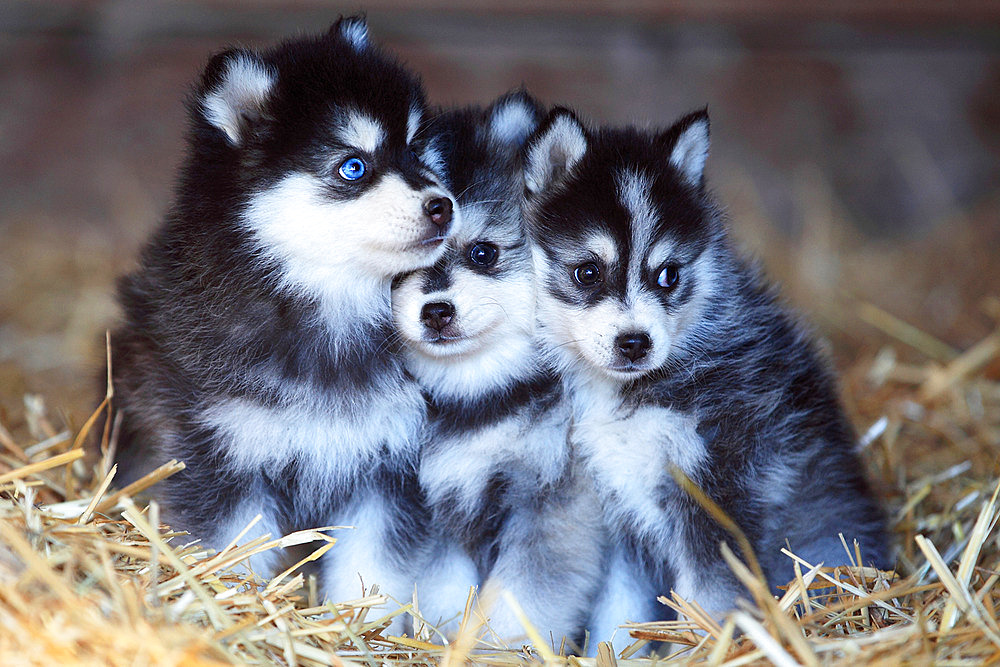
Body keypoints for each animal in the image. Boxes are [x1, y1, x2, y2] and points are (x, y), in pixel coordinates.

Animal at [111, 17, 462, 620]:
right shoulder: (224, 455)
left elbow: (375, 569)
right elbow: (232, 551)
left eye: (418, 149)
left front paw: (365, 625)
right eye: (353, 166)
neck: (330, 309)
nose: (442, 205)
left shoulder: (389, 465)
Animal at [392, 92, 604, 640]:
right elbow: (446, 593)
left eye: (483, 253)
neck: (478, 394)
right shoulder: (439, 509)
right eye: (397, 270)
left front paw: (492, 647)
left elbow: (518, 602)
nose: (436, 311)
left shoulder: (550, 504)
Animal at [520, 108, 888, 648]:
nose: (635, 342)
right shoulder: (624, 502)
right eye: (587, 272)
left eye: (668, 275)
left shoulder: (716, 491)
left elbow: (710, 594)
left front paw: (713, 644)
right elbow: (621, 606)